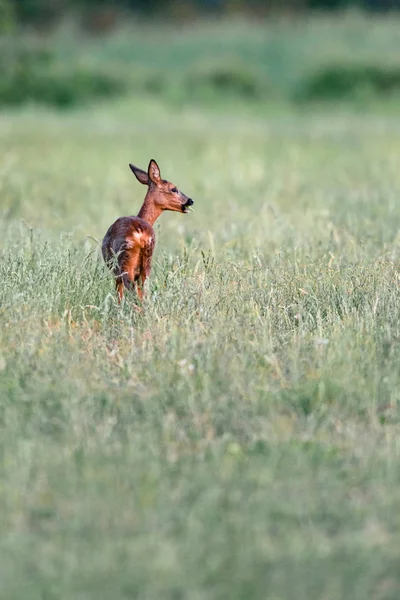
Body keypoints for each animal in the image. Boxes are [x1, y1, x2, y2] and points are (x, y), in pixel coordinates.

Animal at [102, 158, 195, 302]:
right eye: (174, 189)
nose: (190, 201)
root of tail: (140, 233)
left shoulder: (115, 271)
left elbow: (119, 294)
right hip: (146, 261)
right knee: (142, 291)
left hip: (124, 261)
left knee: (131, 289)